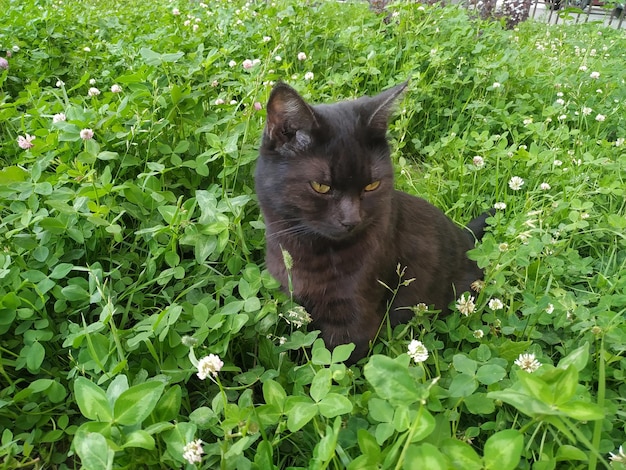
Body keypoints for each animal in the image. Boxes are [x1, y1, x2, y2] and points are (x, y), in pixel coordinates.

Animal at [254, 82, 488, 362]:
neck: (310, 251)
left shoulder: (354, 321)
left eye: (372, 185)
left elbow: (335, 362)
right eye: (321, 187)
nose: (351, 220)